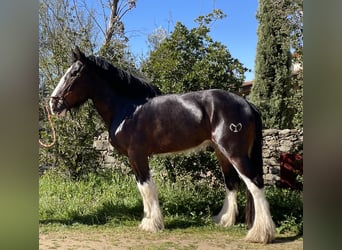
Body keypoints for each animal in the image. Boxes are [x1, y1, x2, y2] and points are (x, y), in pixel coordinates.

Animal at [49, 46, 276, 243]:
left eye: (74, 73)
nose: (53, 104)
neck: (128, 109)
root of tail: (247, 104)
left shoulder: (138, 155)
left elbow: (147, 187)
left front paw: (152, 224)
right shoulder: (134, 159)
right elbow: (142, 188)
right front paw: (147, 220)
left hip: (234, 153)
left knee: (255, 183)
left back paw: (260, 234)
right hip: (221, 153)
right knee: (232, 183)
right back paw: (224, 220)